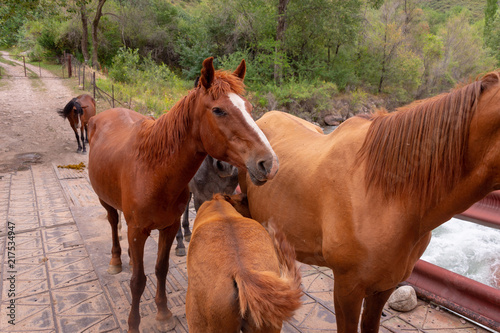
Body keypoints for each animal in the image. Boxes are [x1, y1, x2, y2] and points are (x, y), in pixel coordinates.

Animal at [88, 57, 280, 332]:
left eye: (249, 107)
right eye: (218, 110)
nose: (269, 163)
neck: (153, 171)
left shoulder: (168, 227)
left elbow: (161, 269)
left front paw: (163, 313)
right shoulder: (137, 231)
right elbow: (138, 281)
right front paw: (133, 323)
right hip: (105, 201)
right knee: (113, 222)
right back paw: (116, 260)